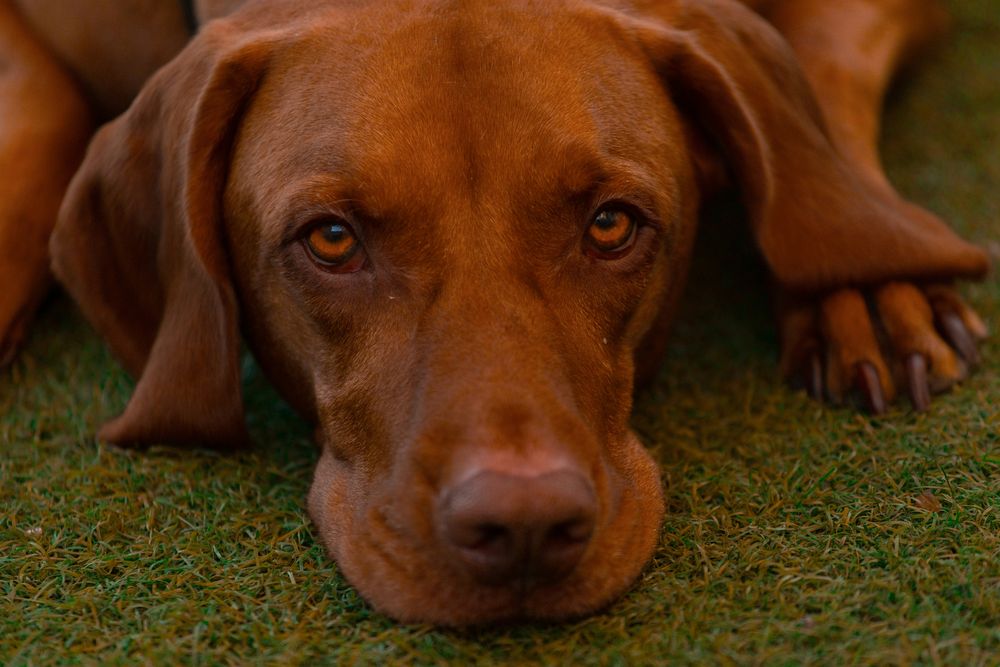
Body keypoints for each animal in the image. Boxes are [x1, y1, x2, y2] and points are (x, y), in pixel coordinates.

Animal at [0, 0, 988, 628]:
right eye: (331, 240)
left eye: (611, 224)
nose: (522, 529)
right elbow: (39, 111)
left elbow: (822, 73)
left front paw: (863, 279)